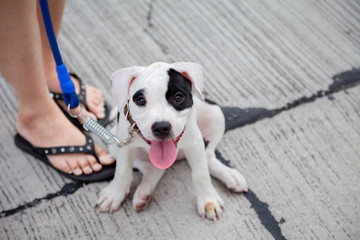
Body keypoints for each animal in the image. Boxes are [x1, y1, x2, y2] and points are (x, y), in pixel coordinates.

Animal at [96, 62, 248, 221]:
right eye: (141, 101)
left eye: (178, 97)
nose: (161, 127)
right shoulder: (125, 147)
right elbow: (123, 171)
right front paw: (114, 195)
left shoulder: (195, 143)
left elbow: (201, 173)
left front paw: (208, 200)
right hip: (113, 145)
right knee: (153, 168)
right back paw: (144, 191)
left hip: (214, 113)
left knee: (208, 156)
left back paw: (229, 175)